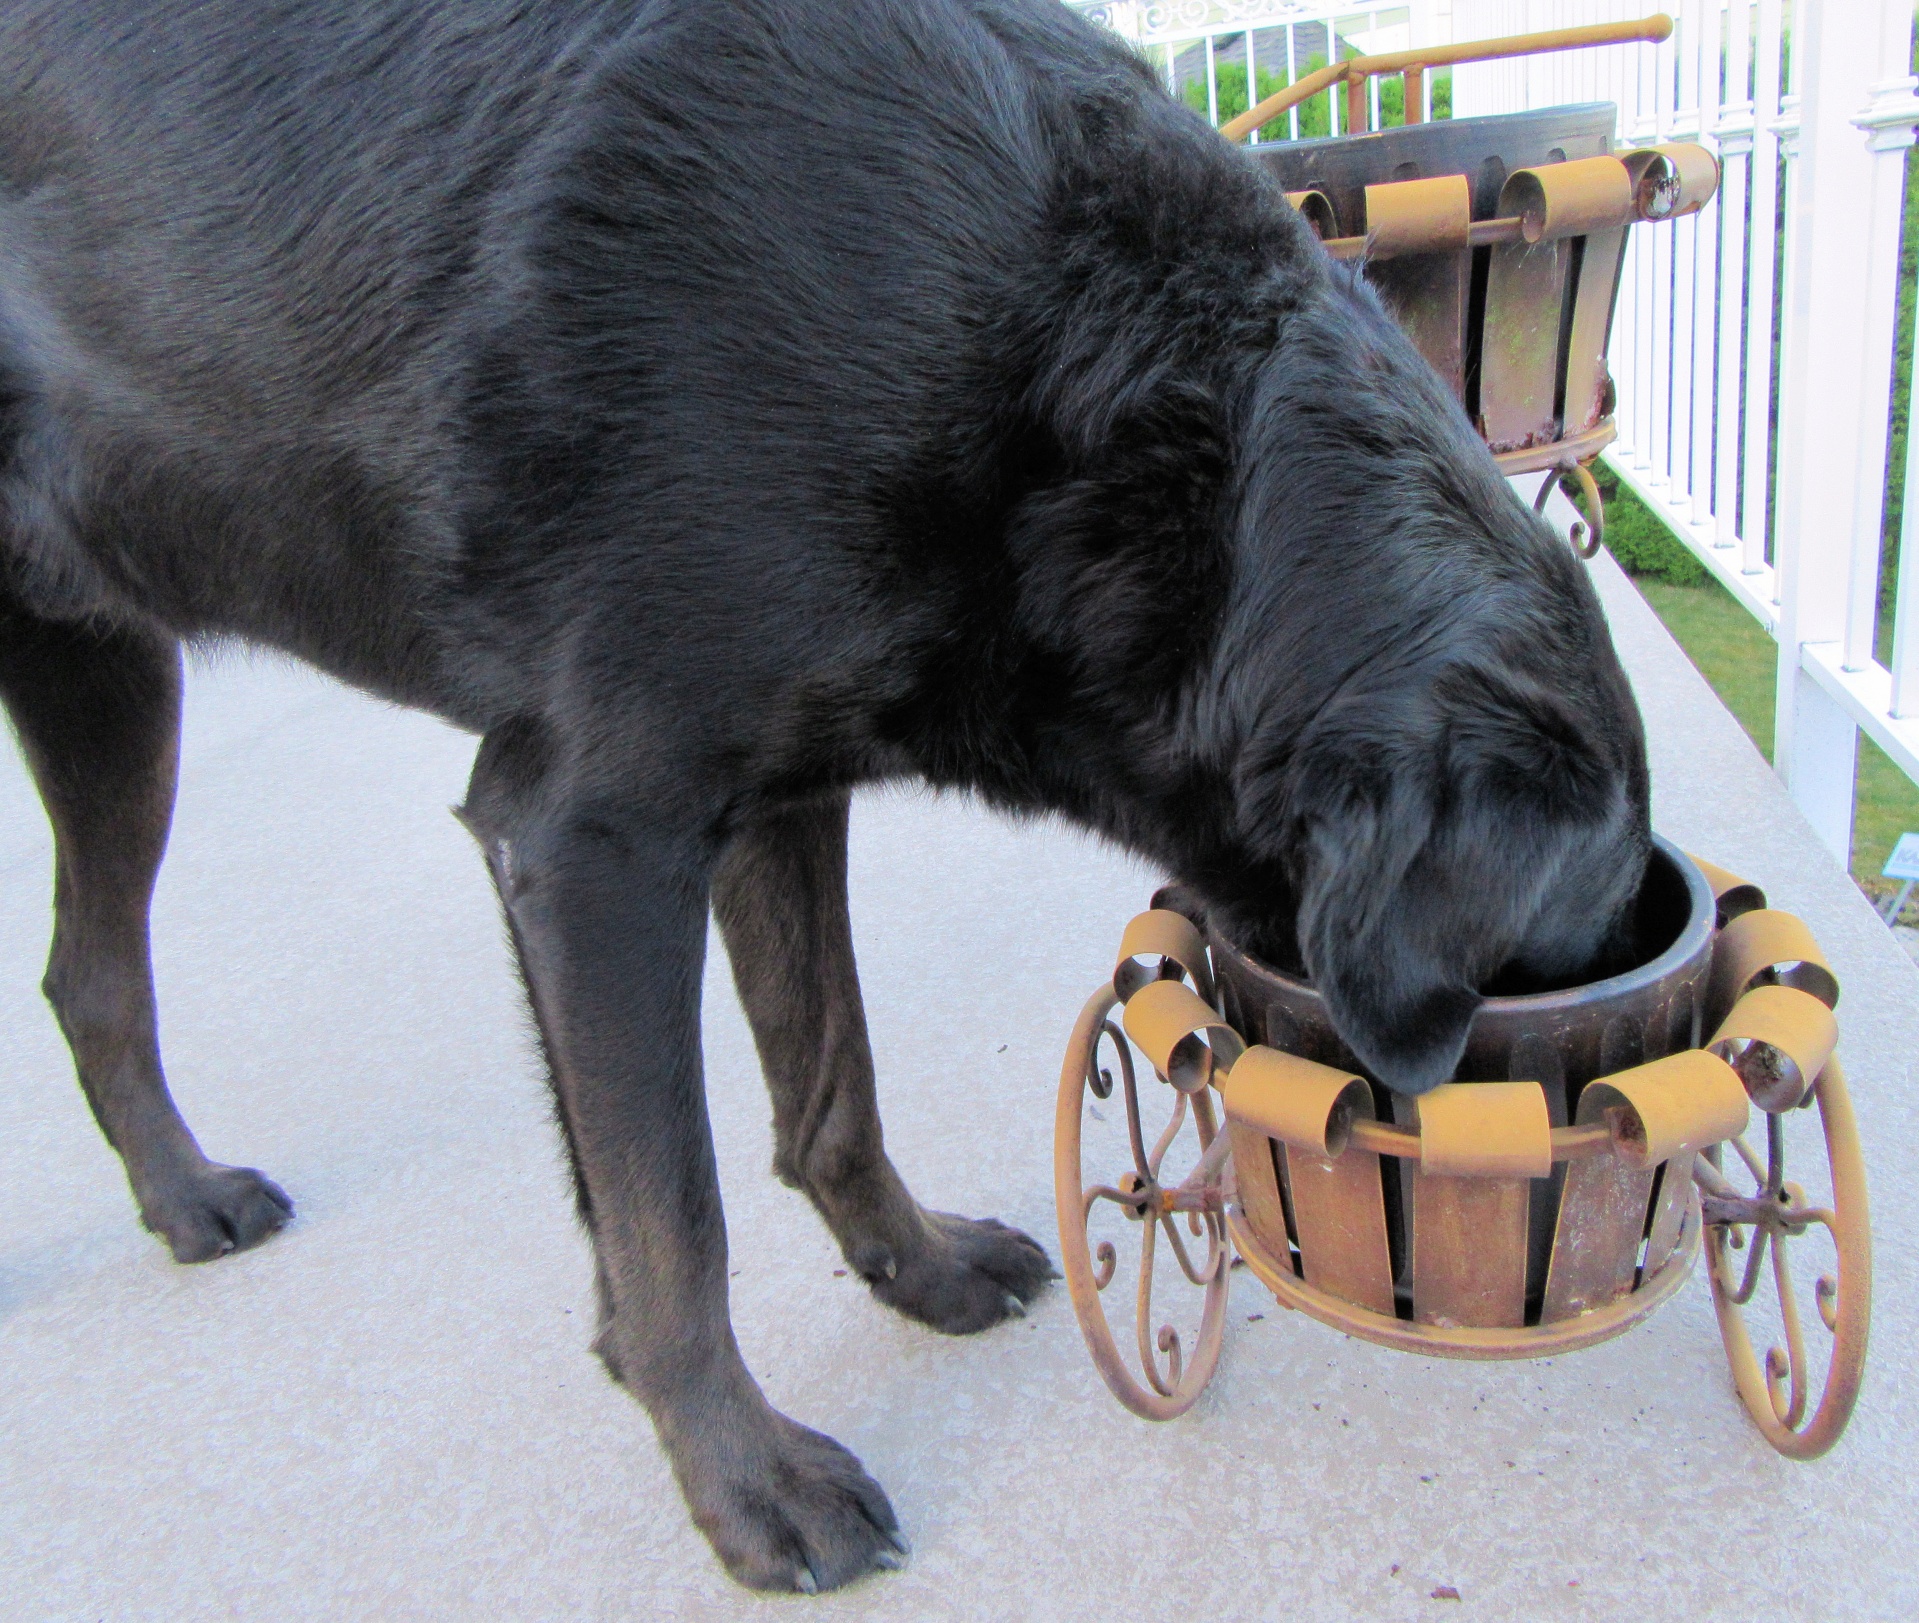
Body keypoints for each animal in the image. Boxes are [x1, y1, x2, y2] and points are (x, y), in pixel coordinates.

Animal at [0, 0, 1650, 1603]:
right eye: (1540, 981)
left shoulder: (778, 796)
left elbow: (830, 1081)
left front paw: (911, 1267)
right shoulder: (588, 835)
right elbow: (671, 1219)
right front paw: (747, 1483)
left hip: (106, 679)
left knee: (89, 973)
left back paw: (183, 1197)